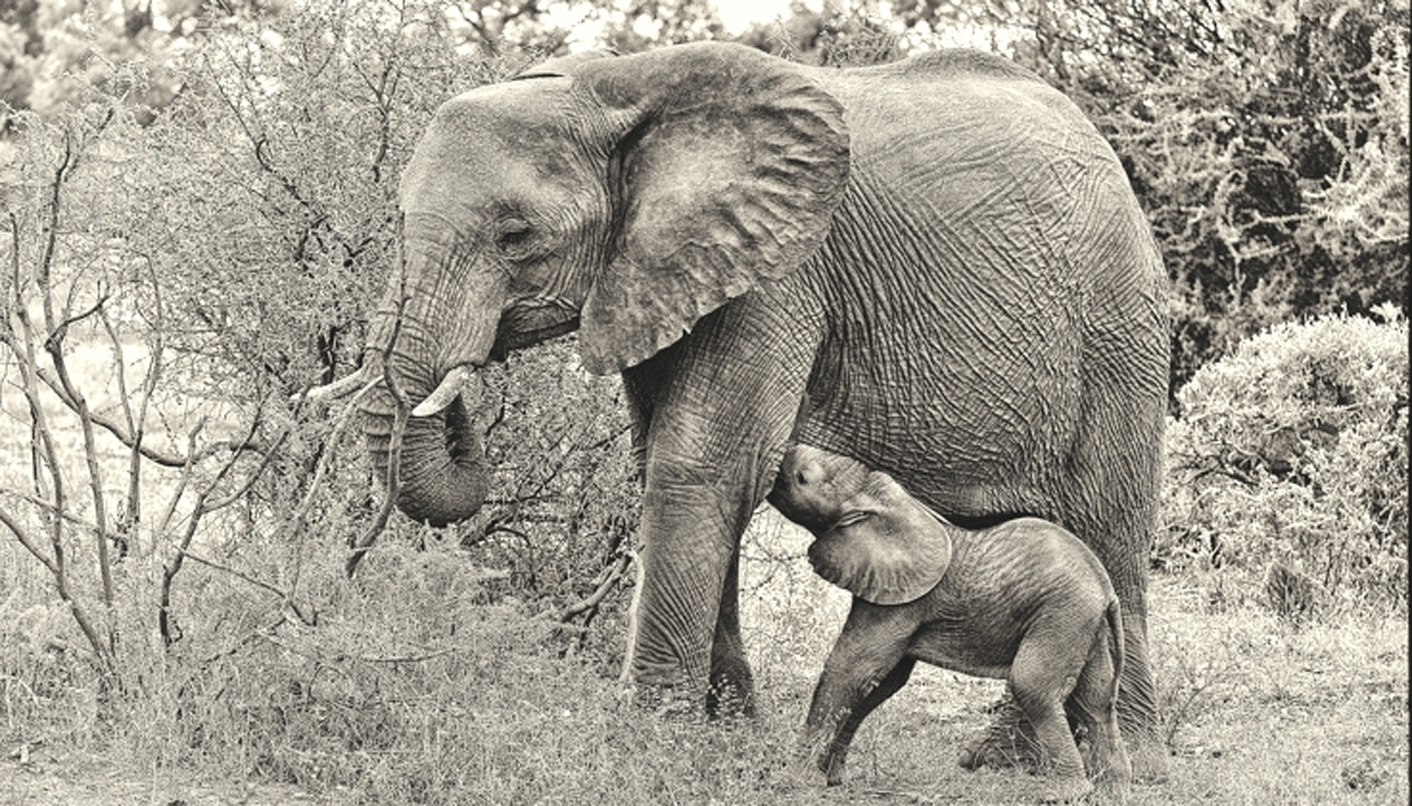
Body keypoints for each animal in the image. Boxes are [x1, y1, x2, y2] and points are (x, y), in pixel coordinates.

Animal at [771, 444, 1131, 802]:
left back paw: (1066, 792)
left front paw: (794, 780)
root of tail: (1106, 588)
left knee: (1034, 687)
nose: (785, 452)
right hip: (1084, 623)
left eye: (803, 478)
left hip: (1061, 613)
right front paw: (832, 777)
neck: (881, 500)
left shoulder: (903, 601)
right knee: (1095, 700)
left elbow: (852, 669)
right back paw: (1111, 790)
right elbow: (882, 682)